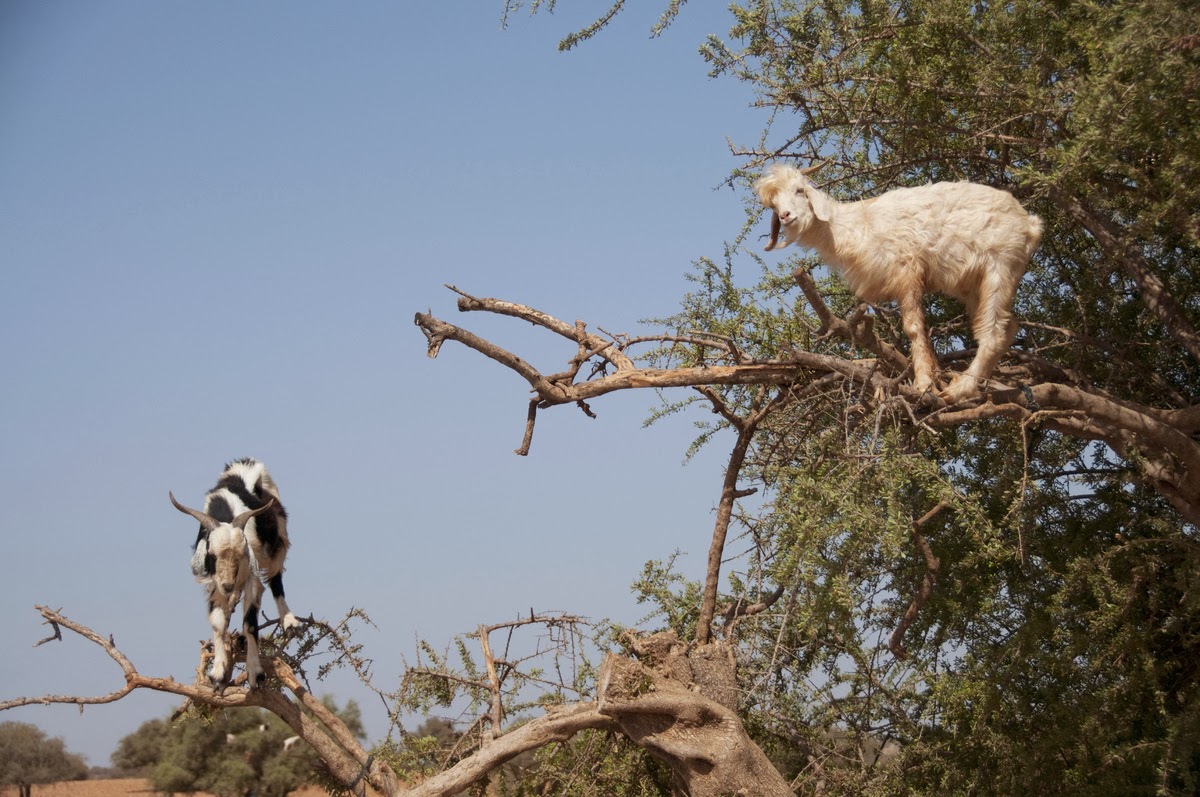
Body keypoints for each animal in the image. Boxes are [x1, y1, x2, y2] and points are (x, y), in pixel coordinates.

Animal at [170, 458, 300, 691]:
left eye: (241, 555)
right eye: (212, 554)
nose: (229, 586)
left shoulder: (252, 577)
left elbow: (250, 623)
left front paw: (255, 673)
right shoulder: (214, 582)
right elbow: (218, 622)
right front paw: (218, 674)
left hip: (279, 543)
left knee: (276, 582)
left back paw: (289, 622)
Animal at [755, 163, 1043, 403]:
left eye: (799, 190)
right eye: (774, 204)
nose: (786, 216)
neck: (853, 226)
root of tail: (1030, 224)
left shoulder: (908, 268)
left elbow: (914, 328)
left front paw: (924, 383)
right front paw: (934, 374)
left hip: (1000, 267)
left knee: (994, 332)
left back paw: (960, 390)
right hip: (975, 285)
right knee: (1007, 327)